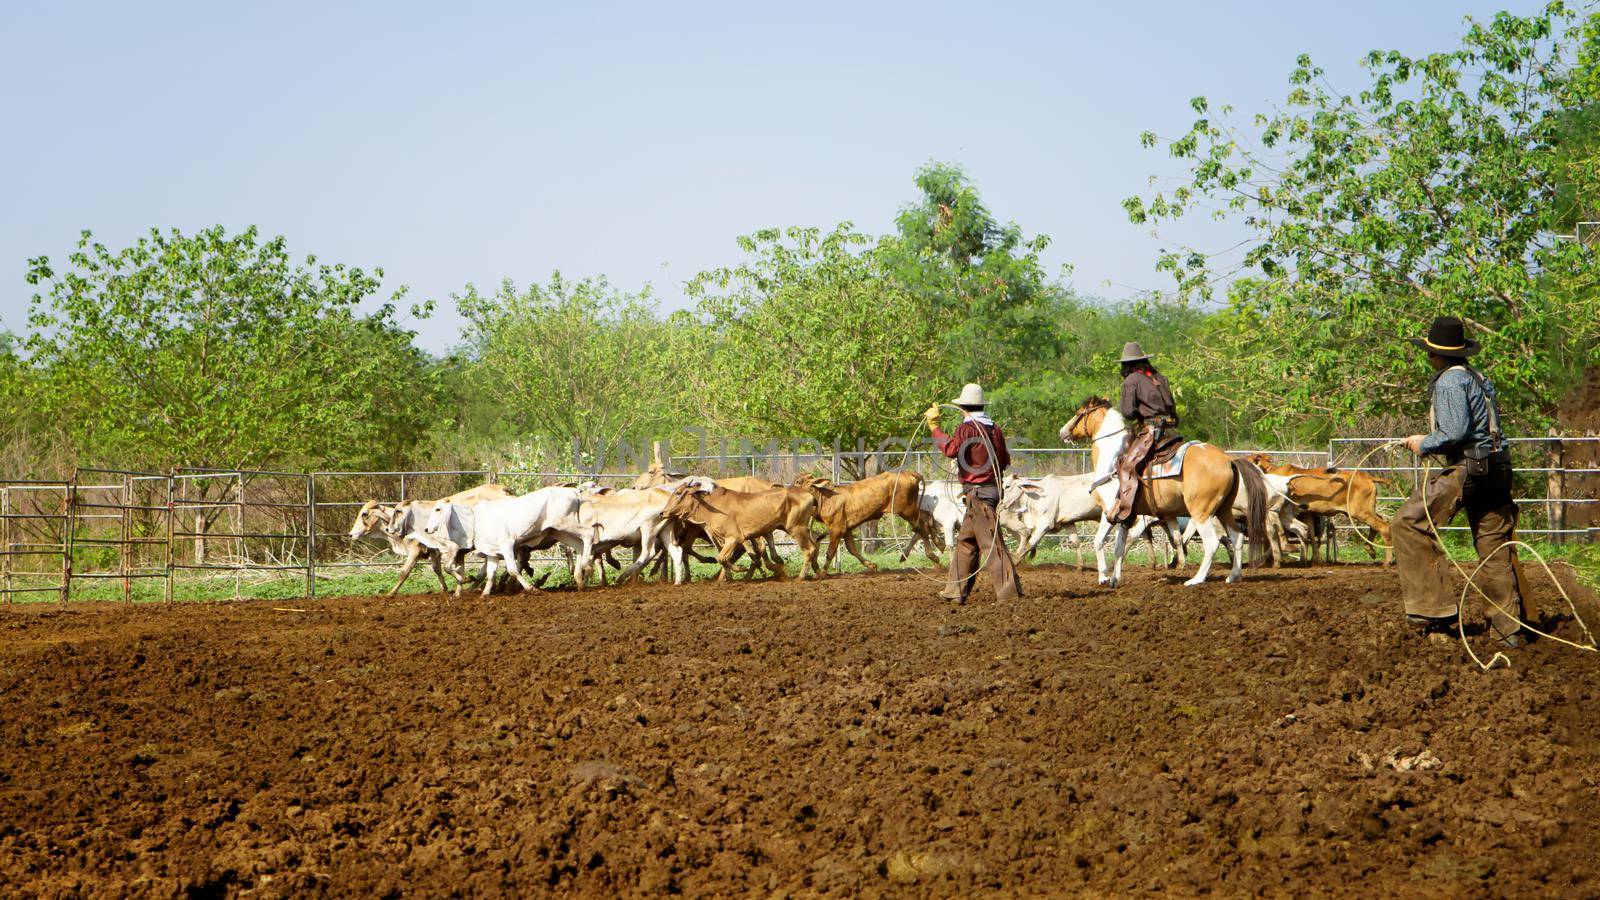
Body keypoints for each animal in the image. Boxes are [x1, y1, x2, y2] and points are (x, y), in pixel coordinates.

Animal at [659, 483, 819, 582]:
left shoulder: (733, 538)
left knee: (809, 549)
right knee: (815, 545)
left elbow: (721, 558)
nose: (662, 512)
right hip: (797, 529)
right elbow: (725, 557)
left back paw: (800, 577)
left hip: (796, 529)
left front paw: (740, 569)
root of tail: (810, 495)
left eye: (678, 493)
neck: (711, 507)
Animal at [793, 470, 934, 566]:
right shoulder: (846, 529)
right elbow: (852, 549)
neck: (826, 498)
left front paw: (822, 574)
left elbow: (830, 553)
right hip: (913, 510)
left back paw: (932, 555)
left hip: (907, 511)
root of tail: (909, 473)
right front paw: (871, 566)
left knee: (922, 527)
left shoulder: (837, 529)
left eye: (798, 482)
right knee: (926, 520)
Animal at [1056, 395, 1267, 586]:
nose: (1062, 432)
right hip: (1223, 509)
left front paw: (1103, 577)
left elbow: (1098, 541)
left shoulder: (1109, 511)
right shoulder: (1126, 516)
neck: (1113, 459)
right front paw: (1114, 579)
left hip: (1201, 512)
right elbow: (1119, 547)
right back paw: (1233, 576)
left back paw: (1196, 579)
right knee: (1236, 537)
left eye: (1078, 413)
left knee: (1212, 542)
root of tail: (1229, 460)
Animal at [1248, 454, 1388, 560]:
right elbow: (1309, 533)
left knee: (1383, 526)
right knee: (1378, 523)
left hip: (1360, 512)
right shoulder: (1307, 513)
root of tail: (1368, 477)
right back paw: (1371, 550)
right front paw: (1313, 559)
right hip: (1367, 510)